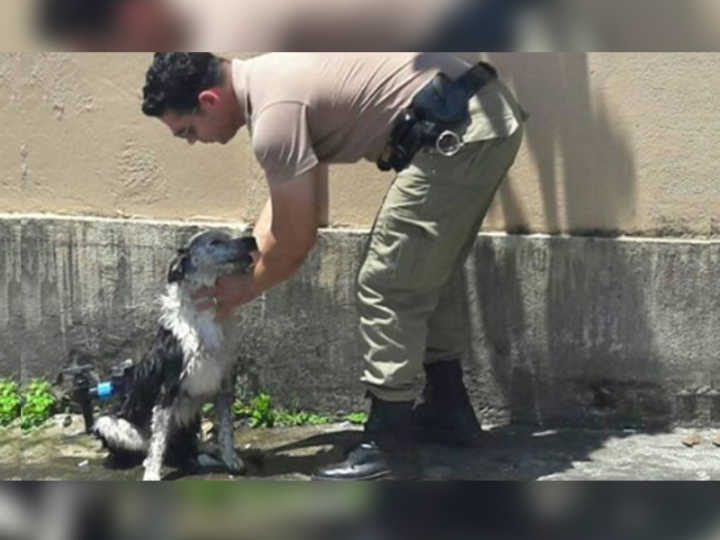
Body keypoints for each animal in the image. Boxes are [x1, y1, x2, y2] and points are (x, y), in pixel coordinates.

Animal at [92, 230, 256, 484]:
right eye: (215, 242)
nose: (252, 240)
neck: (204, 315)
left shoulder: (224, 384)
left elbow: (226, 431)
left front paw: (231, 460)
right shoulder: (167, 389)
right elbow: (158, 442)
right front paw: (152, 474)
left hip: (191, 416)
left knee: (187, 446)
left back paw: (204, 452)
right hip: (108, 423)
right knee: (154, 448)